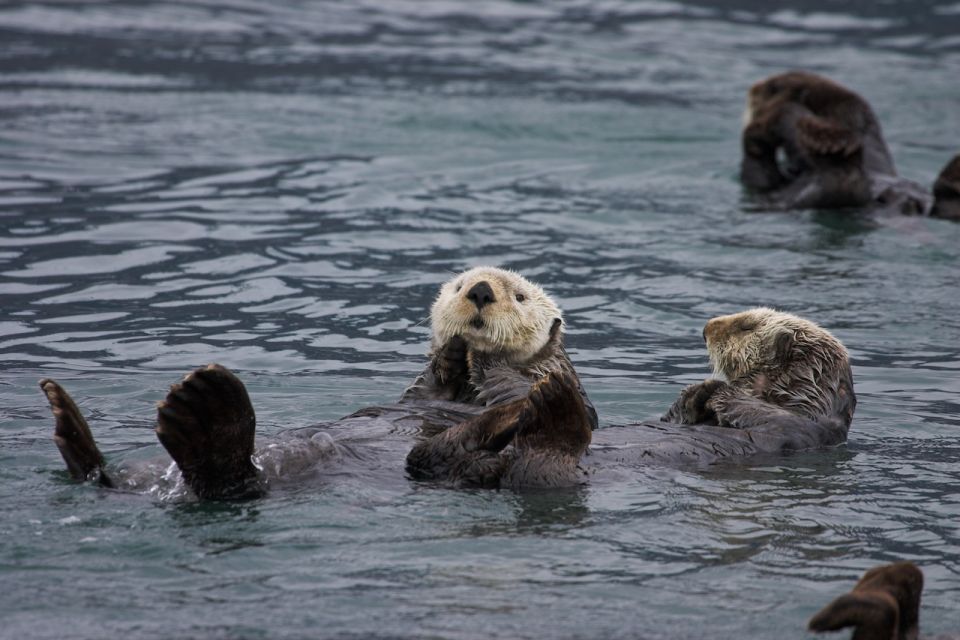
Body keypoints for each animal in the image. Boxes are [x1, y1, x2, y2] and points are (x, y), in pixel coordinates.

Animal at [41, 264, 596, 500]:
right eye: (460, 285)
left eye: (519, 295)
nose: (480, 291)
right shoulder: (424, 390)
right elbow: (428, 386)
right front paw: (456, 351)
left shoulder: (548, 375)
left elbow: (523, 383)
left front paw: (485, 360)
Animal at [744, 70, 960, 220]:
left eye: (772, 87)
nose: (758, 88)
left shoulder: (853, 118)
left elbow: (853, 106)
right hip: (820, 192)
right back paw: (831, 145)